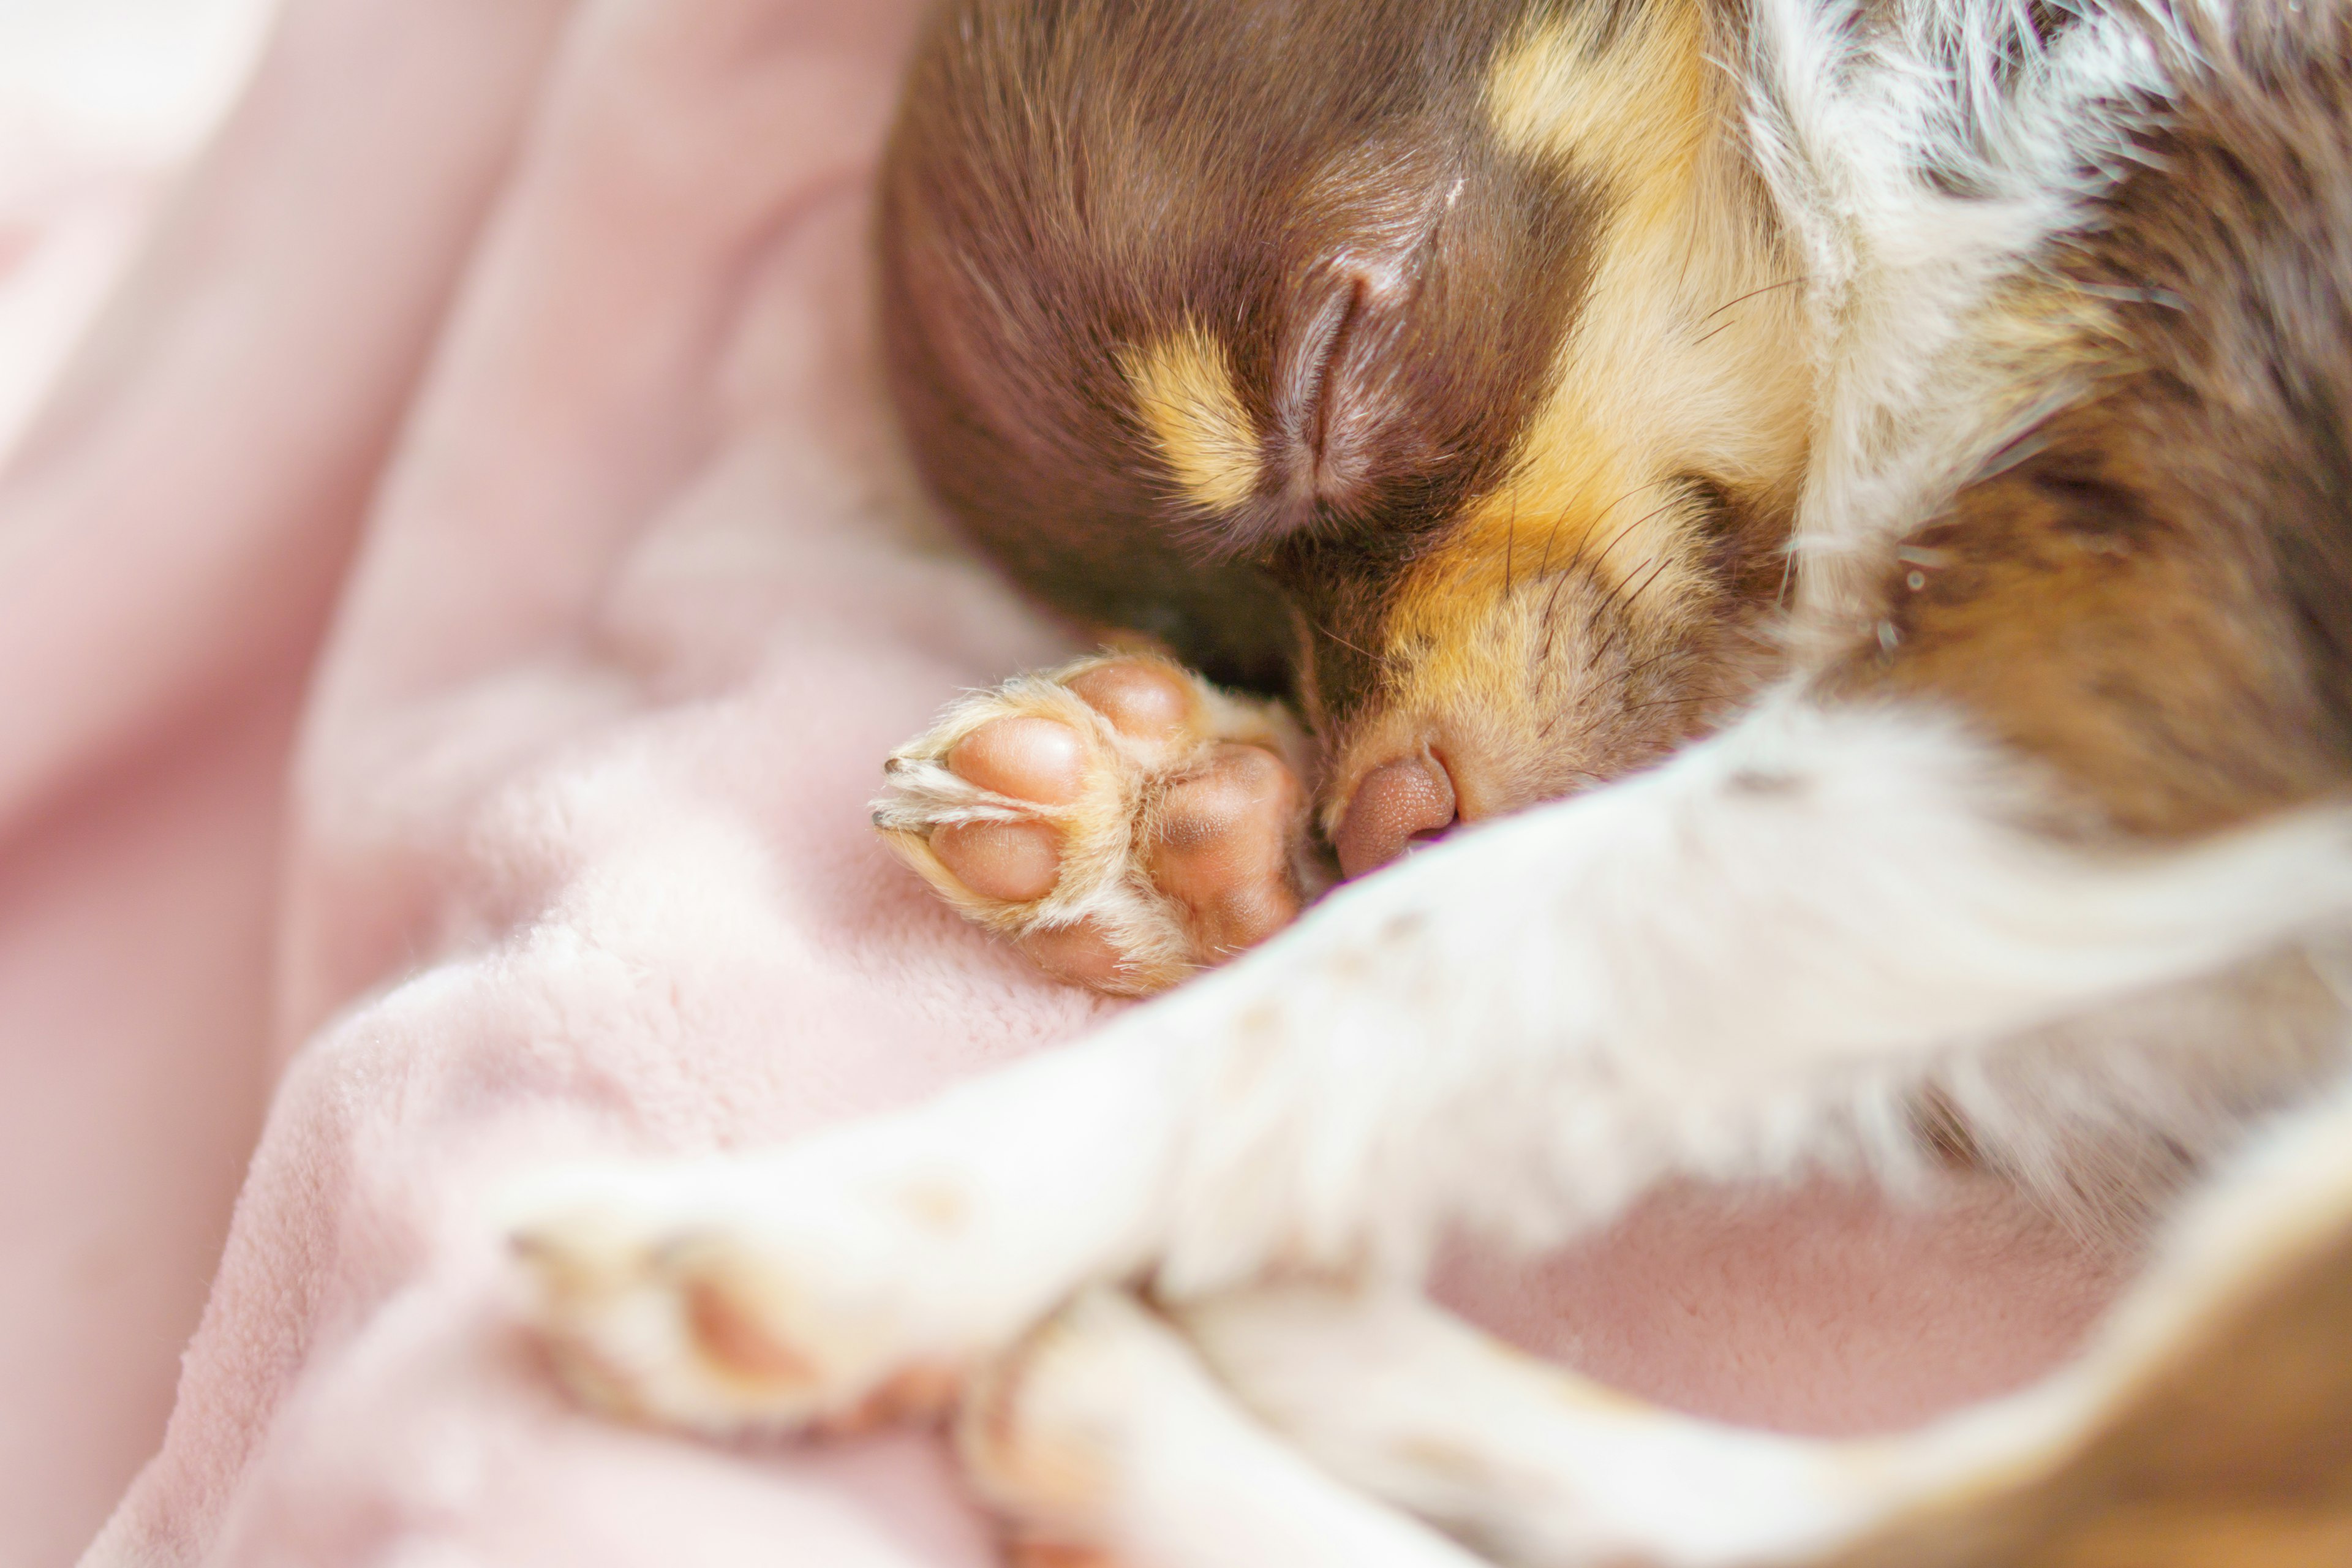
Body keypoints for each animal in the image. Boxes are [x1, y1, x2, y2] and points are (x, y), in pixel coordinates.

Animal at [505, 0, 2352, 1561]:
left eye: (1326, 376)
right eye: (1224, 630)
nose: (1371, 817)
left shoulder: (2098, 683)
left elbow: (1424, 962)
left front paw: (890, 1207)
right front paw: (1182, 818)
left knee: (1961, 1521)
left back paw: (1092, 1389)